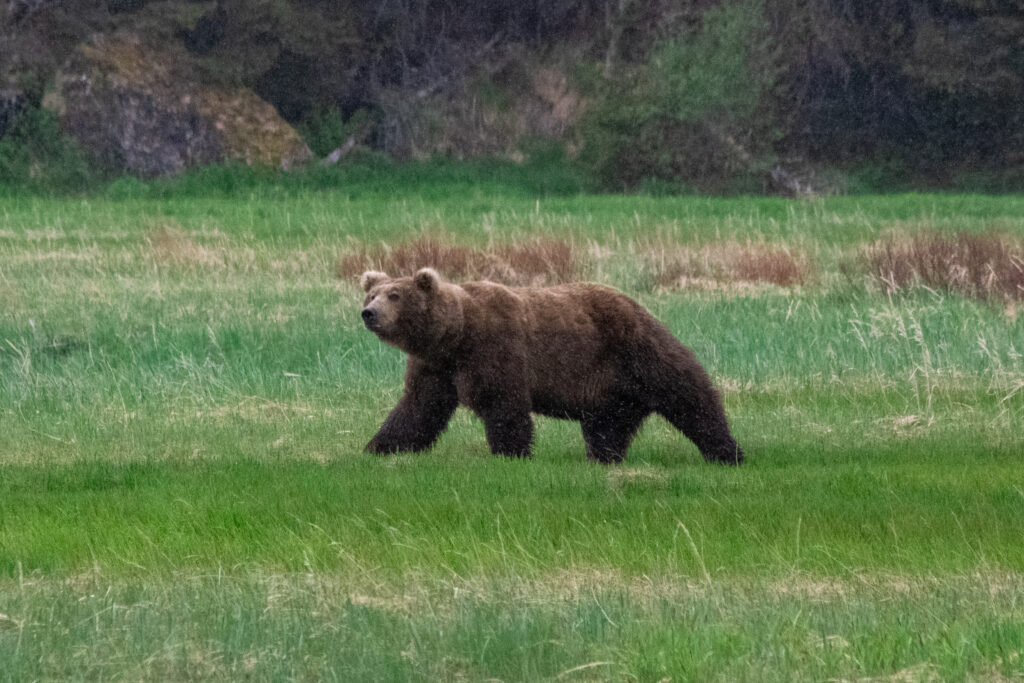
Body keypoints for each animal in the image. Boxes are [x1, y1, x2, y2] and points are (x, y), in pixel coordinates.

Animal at [360, 266, 745, 464]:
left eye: (395, 295)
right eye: (372, 294)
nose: (369, 313)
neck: (454, 337)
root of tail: (640, 306)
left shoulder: (495, 349)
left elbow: (504, 405)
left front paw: (510, 453)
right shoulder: (435, 367)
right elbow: (418, 409)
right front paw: (378, 447)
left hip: (635, 349)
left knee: (688, 394)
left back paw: (727, 451)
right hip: (608, 388)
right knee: (607, 425)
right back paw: (603, 458)